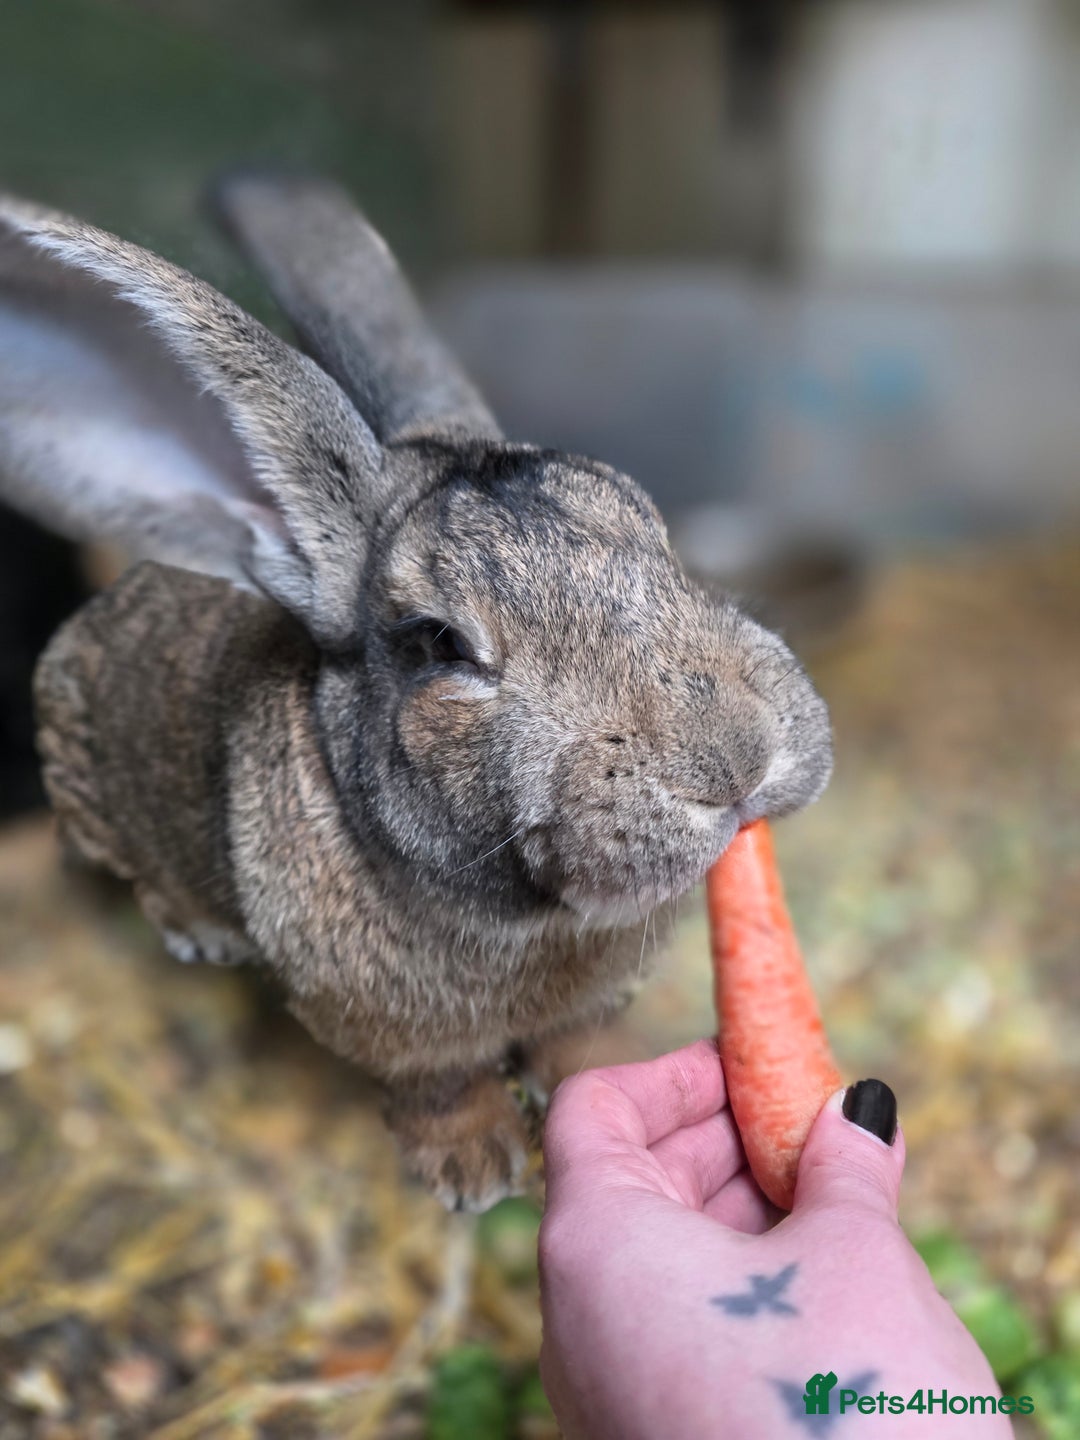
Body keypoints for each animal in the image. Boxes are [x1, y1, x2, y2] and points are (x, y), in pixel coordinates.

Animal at [0, 176, 833, 1211]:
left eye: (656, 530)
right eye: (441, 645)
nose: (738, 758)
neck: (525, 923)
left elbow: (575, 1041)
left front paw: (600, 1074)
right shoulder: (393, 1035)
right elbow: (439, 1085)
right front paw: (473, 1172)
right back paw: (200, 937)